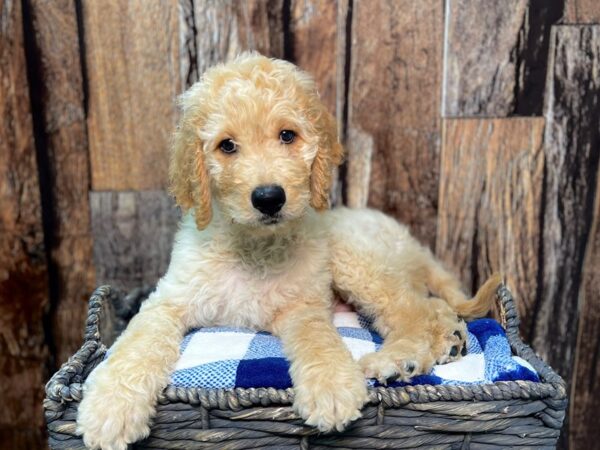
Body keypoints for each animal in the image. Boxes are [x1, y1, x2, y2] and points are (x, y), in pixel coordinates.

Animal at [77, 51, 500, 446]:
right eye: (226, 146)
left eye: (287, 136)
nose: (268, 198)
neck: (253, 246)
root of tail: (411, 241)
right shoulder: (167, 302)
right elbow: (137, 344)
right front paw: (110, 407)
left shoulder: (303, 305)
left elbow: (318, 341)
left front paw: (332, 388)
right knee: (436, 308)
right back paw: (448, 342)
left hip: (354, 258)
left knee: (416, 311)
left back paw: (399, 360)